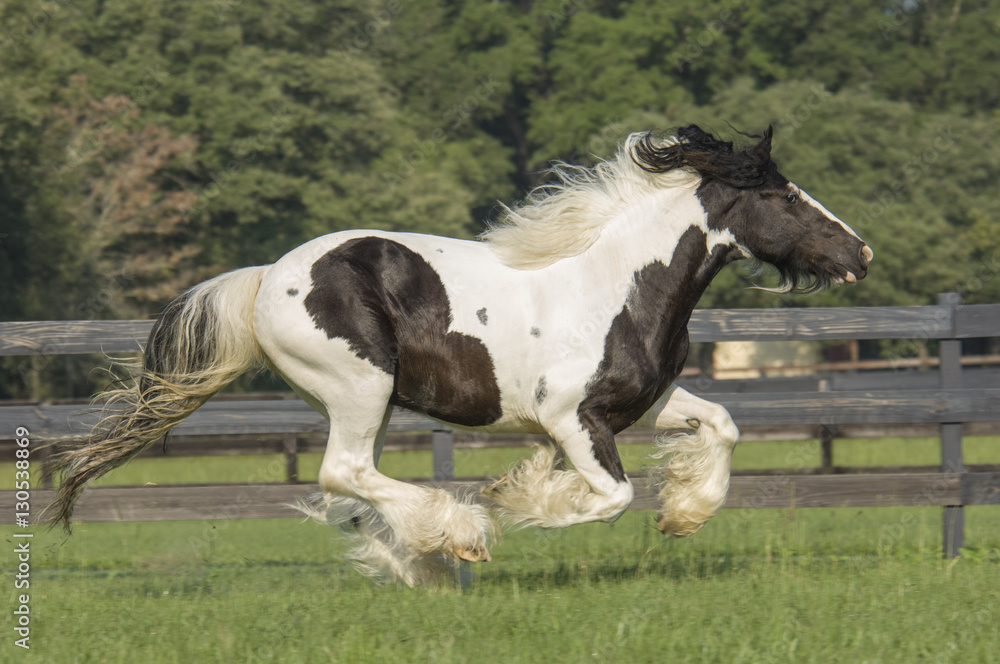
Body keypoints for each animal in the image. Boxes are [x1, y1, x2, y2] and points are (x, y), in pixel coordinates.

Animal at [50, 124, 872, 588]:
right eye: (786, 198)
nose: (860, 253)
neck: (617, 287)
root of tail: (264, 279)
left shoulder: (647, 402)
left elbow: (724, 425)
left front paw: (684, 515)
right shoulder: (572, 420)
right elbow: (610, 496)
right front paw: (520, 498)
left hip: (366, 402)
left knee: (352, 487)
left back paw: (419, 560)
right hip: (358, 390)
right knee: (342, 474)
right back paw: (457, 542)